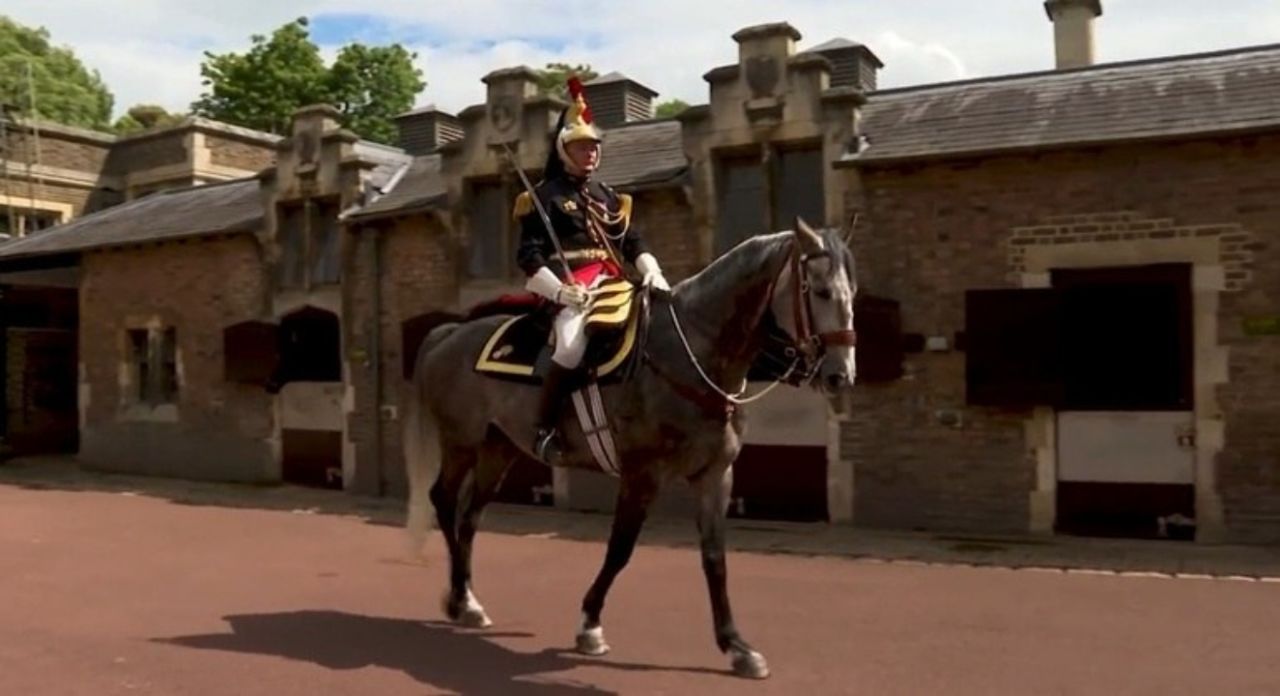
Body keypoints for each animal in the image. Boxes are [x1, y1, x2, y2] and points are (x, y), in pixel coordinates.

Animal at [399, 218, 860, 680]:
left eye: (852, 291)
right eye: (820, 291)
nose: (841, 375)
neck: (689, 356)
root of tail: (451, 332)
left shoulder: (714, 474)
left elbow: (714, 558)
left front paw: (736, 646)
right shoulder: (642, 474)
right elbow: (620, 549)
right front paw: (589, 625)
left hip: (500, 450)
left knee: (470, 516)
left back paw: (468, 601)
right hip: (461, 442)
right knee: (444, 501)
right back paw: (461, 600)